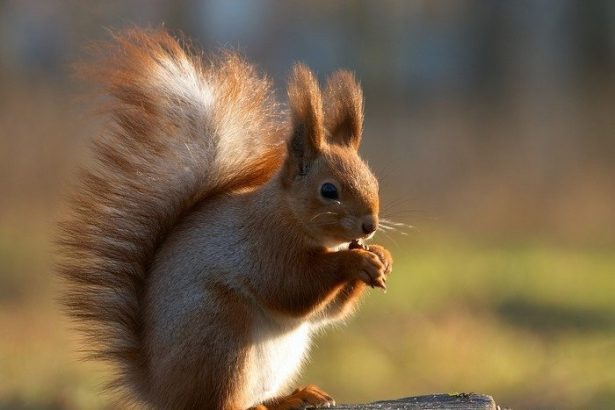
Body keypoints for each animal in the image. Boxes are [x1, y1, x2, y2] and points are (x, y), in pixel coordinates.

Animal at [59, 28, 394, 406]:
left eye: (373, 180)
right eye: (328, 190)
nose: (369, 225)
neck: (287, 214)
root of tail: (161, 391)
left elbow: (326, 311)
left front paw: (381, 255)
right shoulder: (264, 244)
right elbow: (292, 288)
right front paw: (356, 262)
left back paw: (293, 398)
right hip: (219, 332)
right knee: (218, 401)